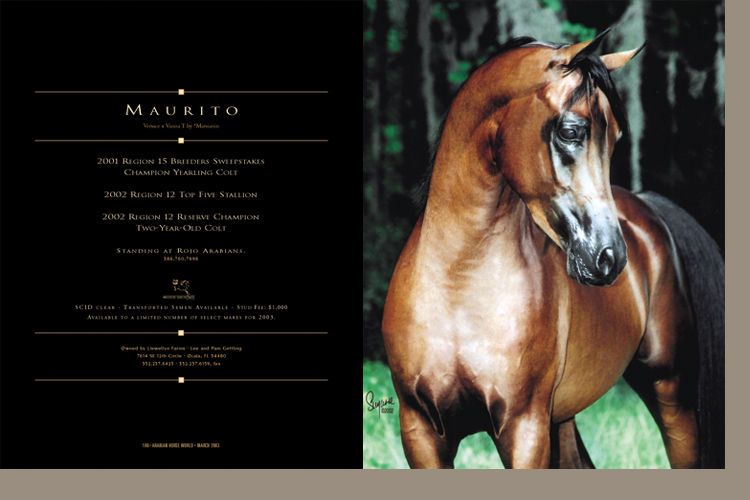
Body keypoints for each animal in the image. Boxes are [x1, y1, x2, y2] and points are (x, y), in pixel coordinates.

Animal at [381, 30, 724, 469]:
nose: (610, 257)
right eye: (571, 131)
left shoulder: (523, 428)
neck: (459, 280)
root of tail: (650, 208)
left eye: (615, 138)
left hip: (672, 396)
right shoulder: (421, 431)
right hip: (564, 420)